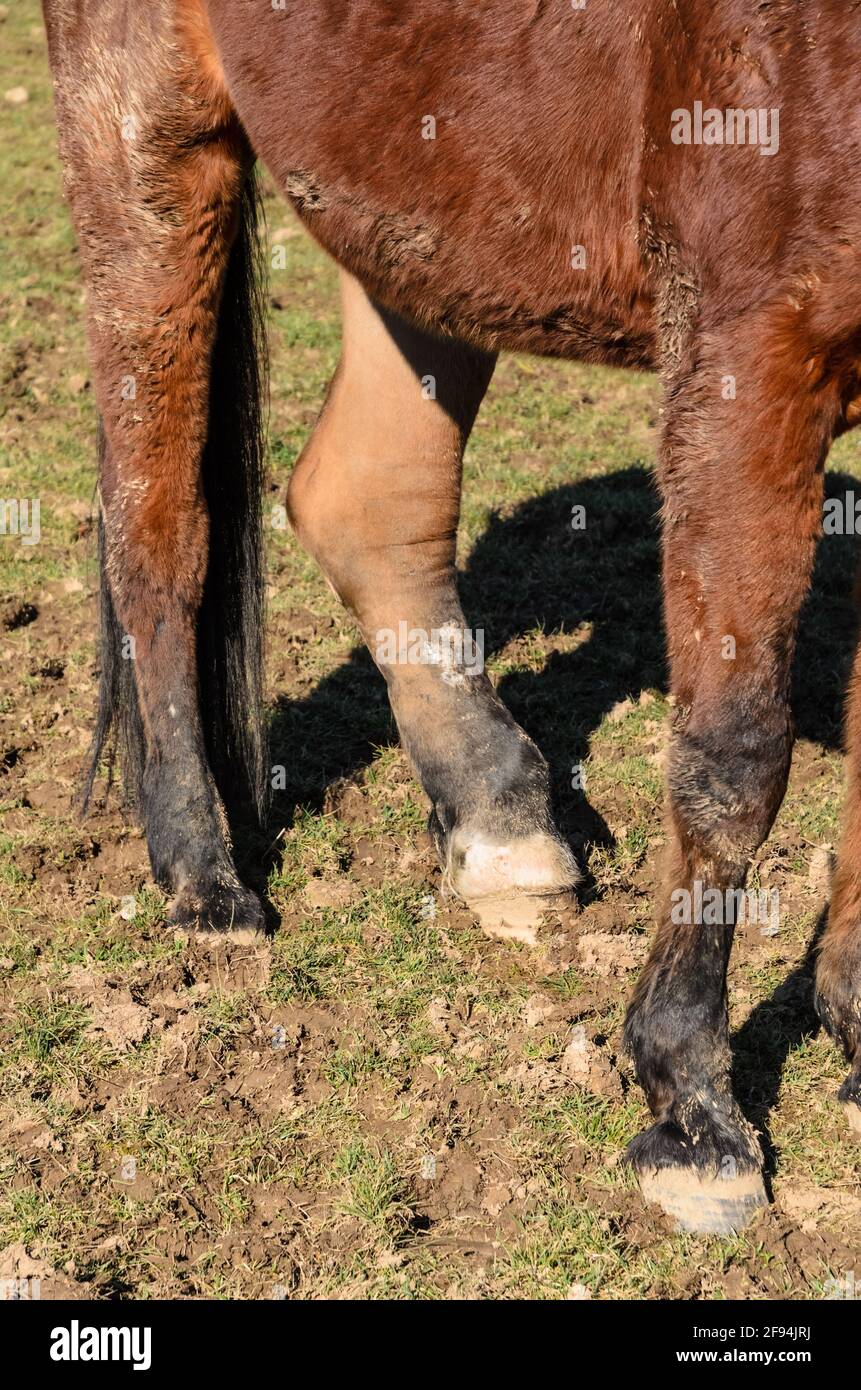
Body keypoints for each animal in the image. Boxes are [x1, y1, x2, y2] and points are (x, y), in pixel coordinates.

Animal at [42, 0, 861, 1239]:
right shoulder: (753, 345)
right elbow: (733, 755)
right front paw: (691, 1109)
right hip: (147, 140)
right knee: (158, 531)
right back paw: (203, 878)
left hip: (419, 204)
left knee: (366, 503)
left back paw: (499, 817)